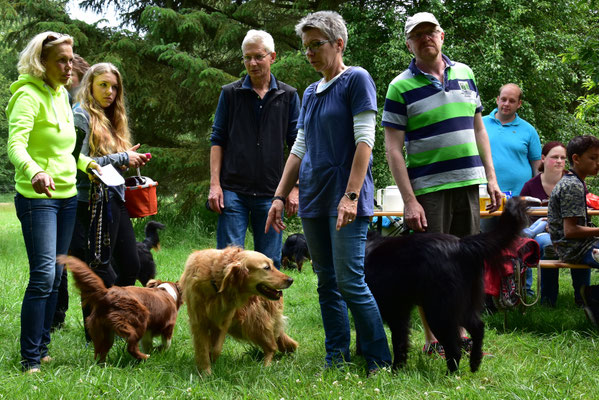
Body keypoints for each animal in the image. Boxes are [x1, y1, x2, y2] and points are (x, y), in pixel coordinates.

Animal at [179, 246, 298, 374]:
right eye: (266, 267)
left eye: (273, 265)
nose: (291, 280)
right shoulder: (199, 322)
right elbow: (203, 349)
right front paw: (206, 372)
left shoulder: (224, 321)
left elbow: (216, 348)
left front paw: (210, 363)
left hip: (252, 322)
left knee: (272, 347)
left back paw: (266, 367)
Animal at [364, 197, 528, 373]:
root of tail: (461, 245)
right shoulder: (399, 311)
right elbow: (398, 341)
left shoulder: (391, 309)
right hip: (458, 306)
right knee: (478, 327)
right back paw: (474, 363)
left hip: (439, 311)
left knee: (455, 348)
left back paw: (451, 374)